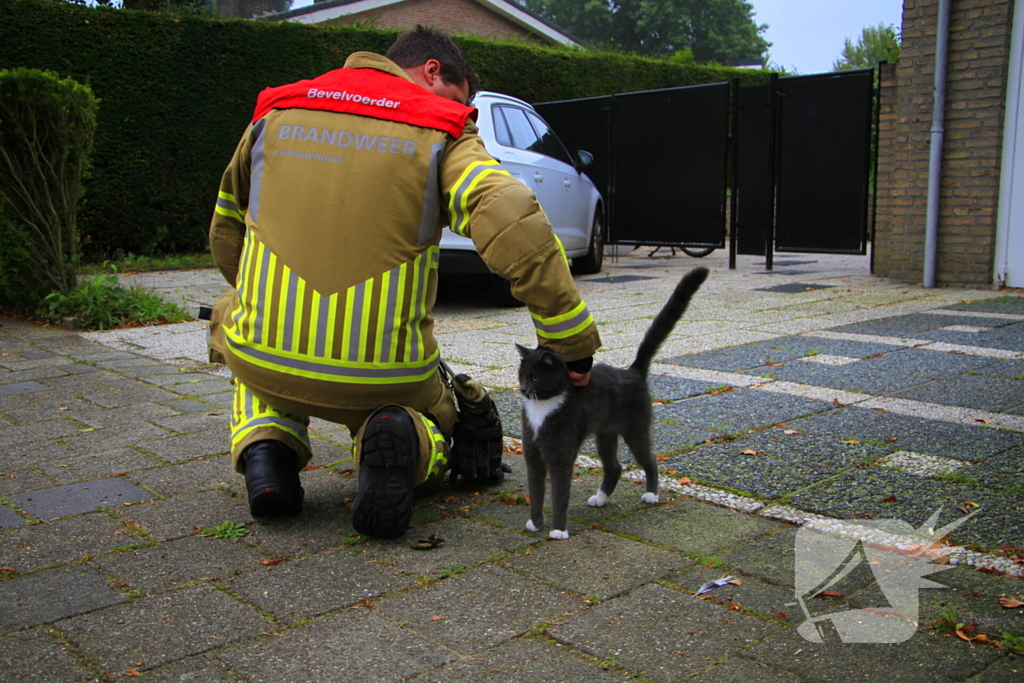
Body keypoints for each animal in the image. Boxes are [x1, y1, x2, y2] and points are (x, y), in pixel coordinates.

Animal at [516, 266, 708, 540]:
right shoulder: (532, 453)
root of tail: (633, 372)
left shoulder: (560, 453)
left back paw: (652, 494)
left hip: (636, 427)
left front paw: (559, 530)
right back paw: (600, 498)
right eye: (521, 375)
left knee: (649, 459)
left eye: (535, 377)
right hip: (604, 434)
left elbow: (560, 493)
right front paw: (535, 523)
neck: (543, 407)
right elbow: (536, 490)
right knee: (614, 466)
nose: (523, 389)